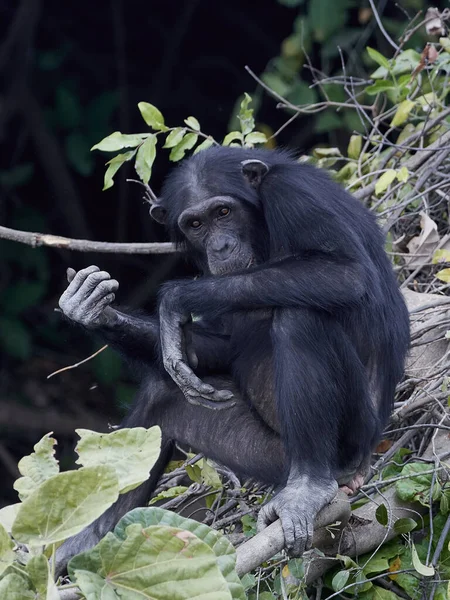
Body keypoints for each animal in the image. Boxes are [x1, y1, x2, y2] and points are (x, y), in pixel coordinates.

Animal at [56, 146, 412, 568]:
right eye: (195, 224)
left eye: (223, 212)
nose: (221, 246)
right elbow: (217, 348)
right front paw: (94, 309)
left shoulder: (294, 194)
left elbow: (346, 272)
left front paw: (175, 298)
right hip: (266, 454)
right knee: (160, 394)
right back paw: (88, 540)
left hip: (354, 438)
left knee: (301, 317)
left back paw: (309, 486)